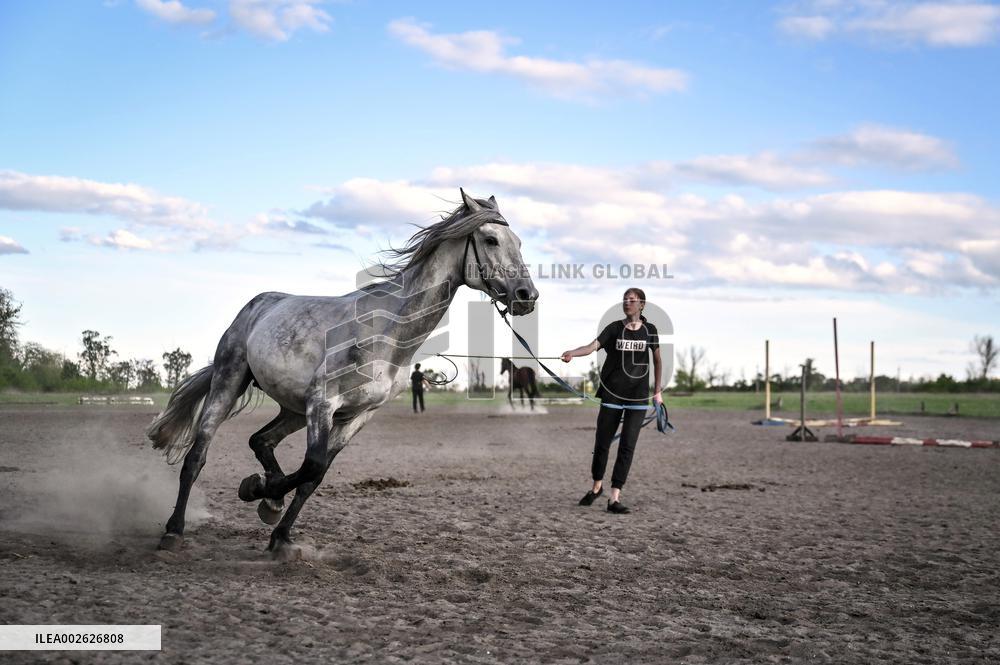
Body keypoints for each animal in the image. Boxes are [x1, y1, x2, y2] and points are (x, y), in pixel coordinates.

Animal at [145, 189, 538, 558]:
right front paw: (254, 489)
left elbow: (313, 477)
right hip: (230, 382)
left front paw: (280, 534)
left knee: (261, 440)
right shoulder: (323, 403)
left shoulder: (356, 416)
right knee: (196, 457)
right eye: (490, 239)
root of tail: (257, 306)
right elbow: (312, 465)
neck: (387, 334)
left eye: (519, 242)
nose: (527, 295)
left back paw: (270, 502)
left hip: (293, 408)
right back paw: (174, 531)